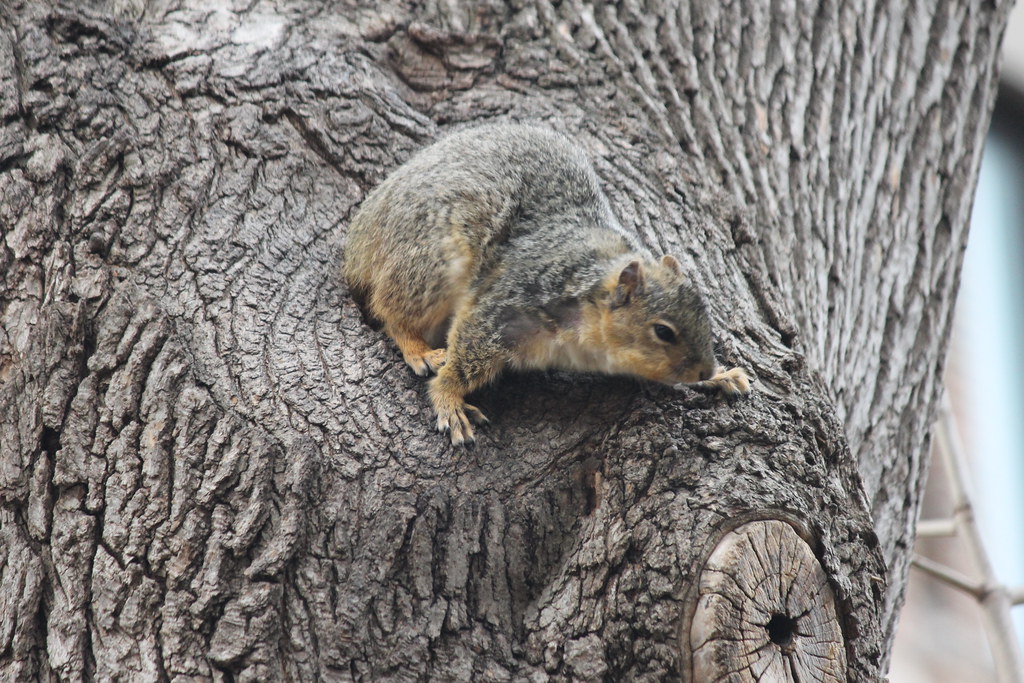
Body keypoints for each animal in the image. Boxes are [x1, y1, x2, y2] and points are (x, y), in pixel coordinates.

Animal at [344, 123, 750, 445]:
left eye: (705, 315)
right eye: (663, 332)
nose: (704, 370)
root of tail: (363, 233)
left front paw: (721, 378)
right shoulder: (510, 302)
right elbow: (468, 350)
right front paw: (449, 400)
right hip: (428, 261)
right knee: (392, 311)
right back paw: (419, 349)